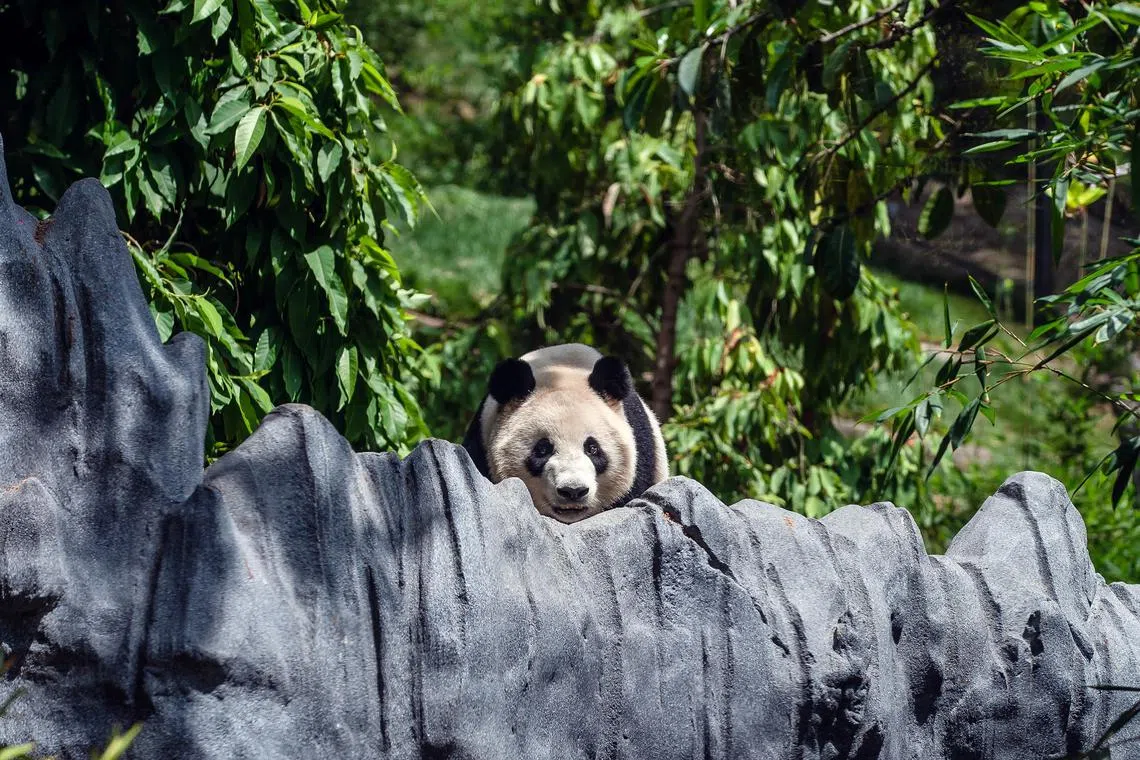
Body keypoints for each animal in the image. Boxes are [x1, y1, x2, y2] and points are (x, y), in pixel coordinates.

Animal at [461, 343, 669, 523]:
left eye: (592, 448)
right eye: (542, 449)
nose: (573, 491)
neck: (561, 372)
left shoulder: (642, 450)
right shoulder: (481, 443)